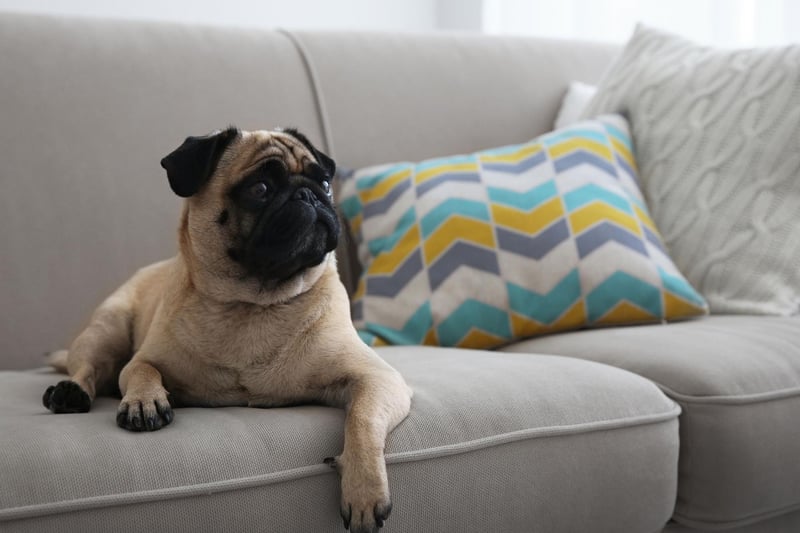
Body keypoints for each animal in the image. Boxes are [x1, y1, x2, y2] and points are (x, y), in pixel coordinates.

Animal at [42, 128, 412, 532]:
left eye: (326, 184)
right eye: (260, 189)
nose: (309, 194)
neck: (253, 305)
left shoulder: (376, 379)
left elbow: (362, 419)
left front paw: (364, 490)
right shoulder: (143, 360)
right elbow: (142, 371)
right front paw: (143, 400)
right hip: (108, 326)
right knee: (88, 368)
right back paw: (70, 393)